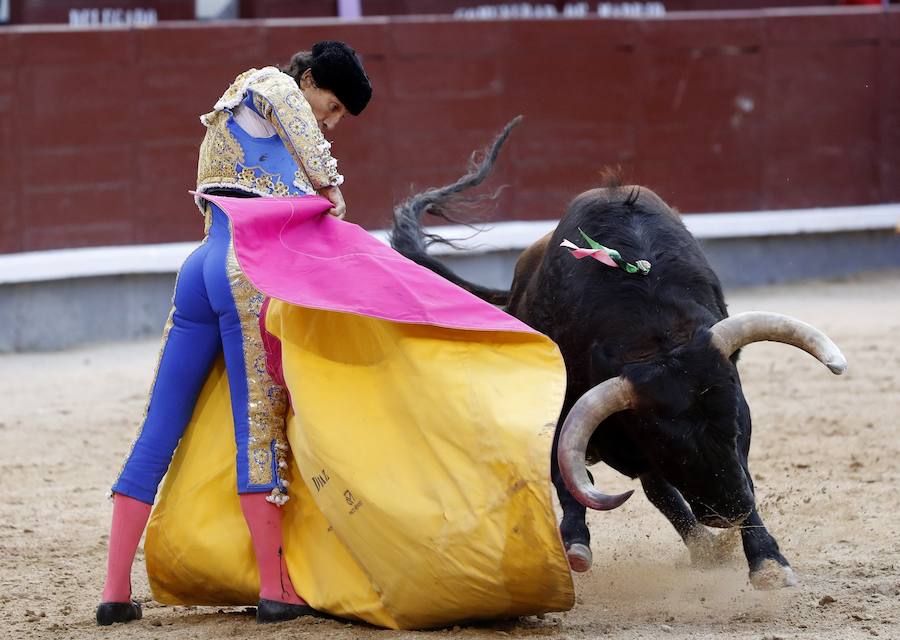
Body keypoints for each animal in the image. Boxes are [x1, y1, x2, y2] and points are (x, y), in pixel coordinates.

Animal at [390, 120, 848, 592]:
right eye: (668, 443)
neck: (655, 331)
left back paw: (706, 546)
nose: (727, 512)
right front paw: (575, 545)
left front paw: (768, 563)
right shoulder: (570, 410)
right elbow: (566, 476)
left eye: (738, 427)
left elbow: (729, 481)